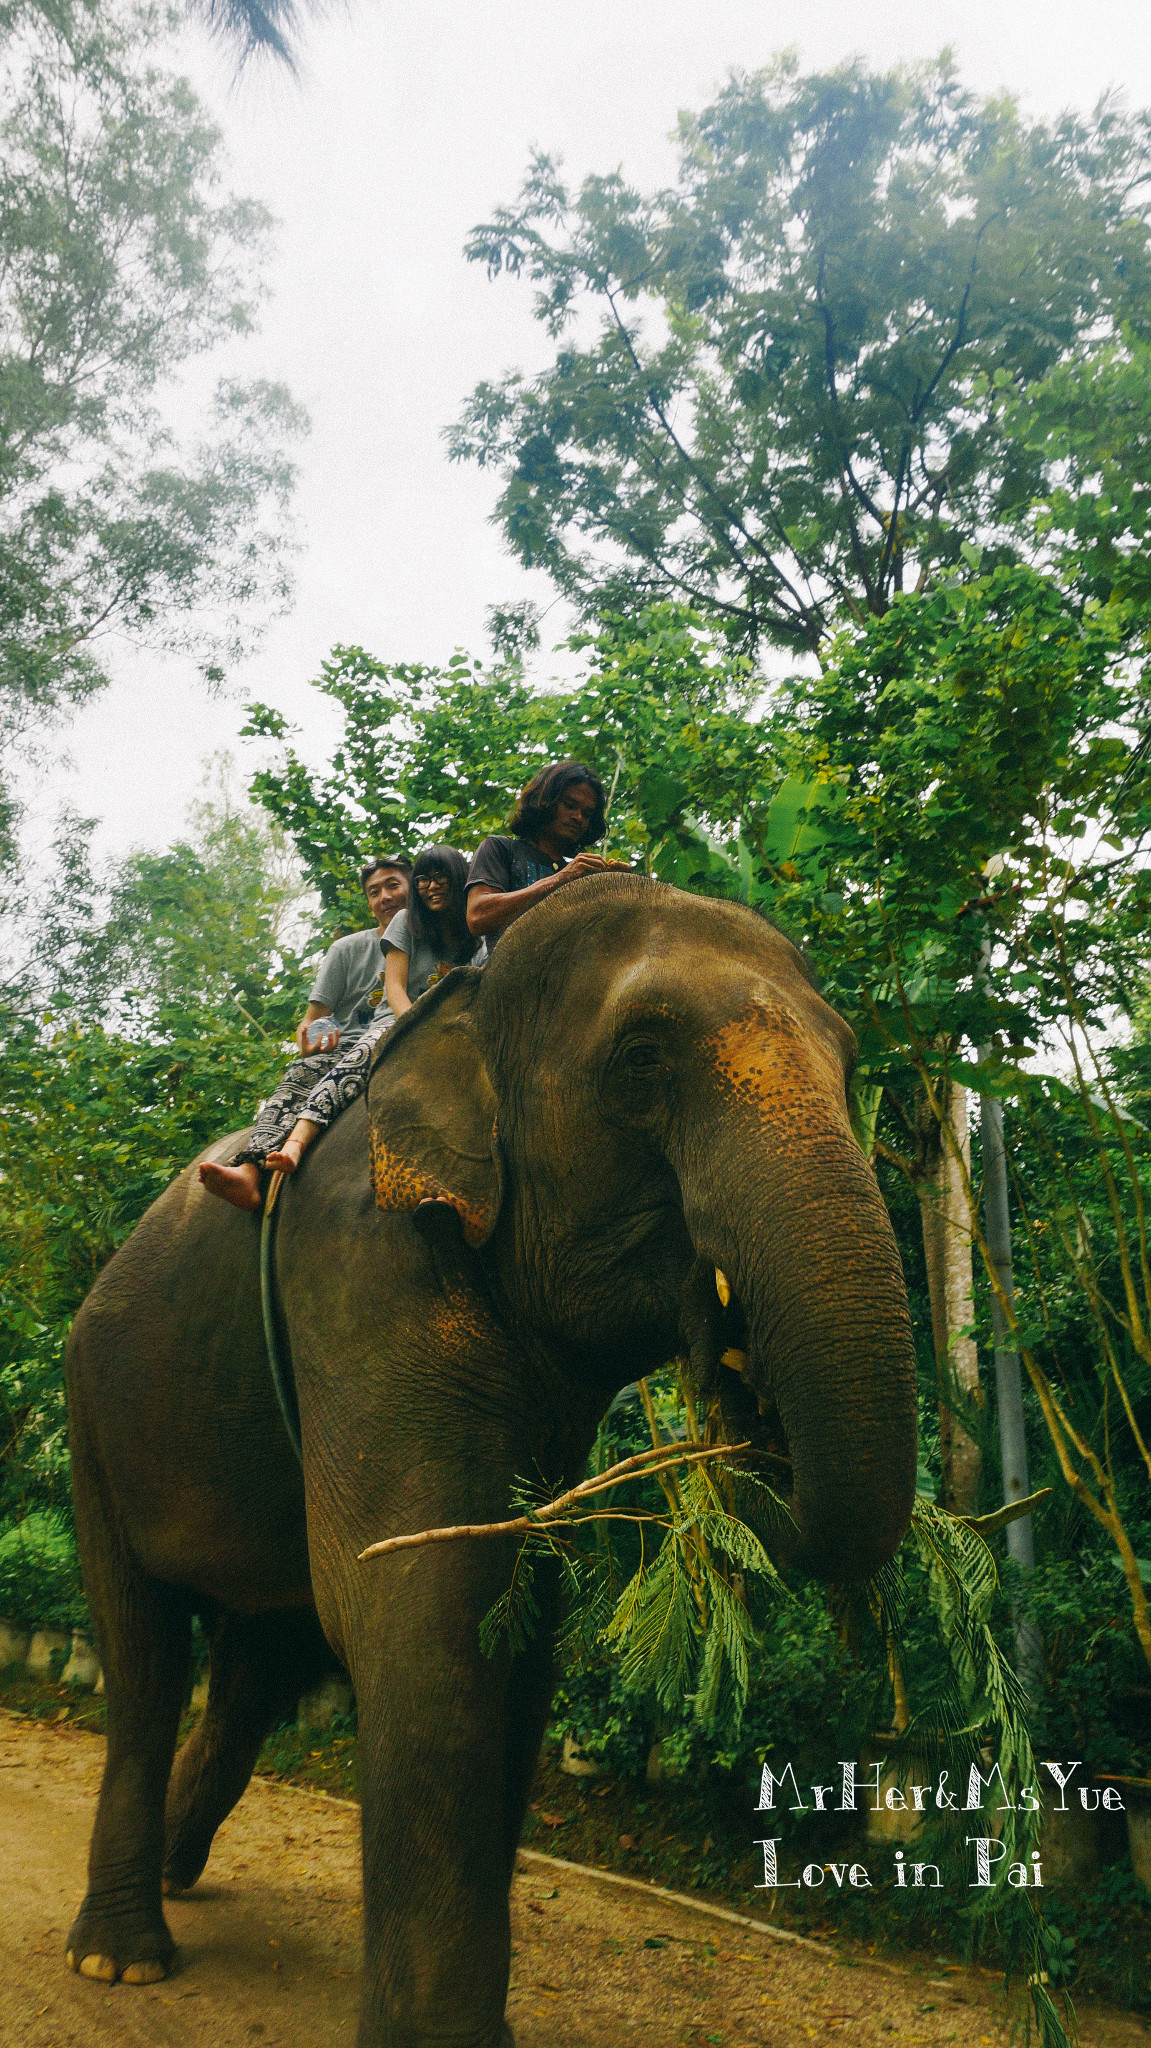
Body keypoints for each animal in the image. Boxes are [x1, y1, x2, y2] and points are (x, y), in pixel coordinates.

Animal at [65, 872, 913, 2039]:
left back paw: (177, 1876)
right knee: (145, 1659)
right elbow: (424, 1605)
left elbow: (521, 1625)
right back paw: (120, 1958)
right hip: (95, 1418)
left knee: (256, 1662)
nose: (734, 1354)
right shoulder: (361, 1271)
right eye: (640, 1058)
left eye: (847, 1062)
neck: (466, 1002)